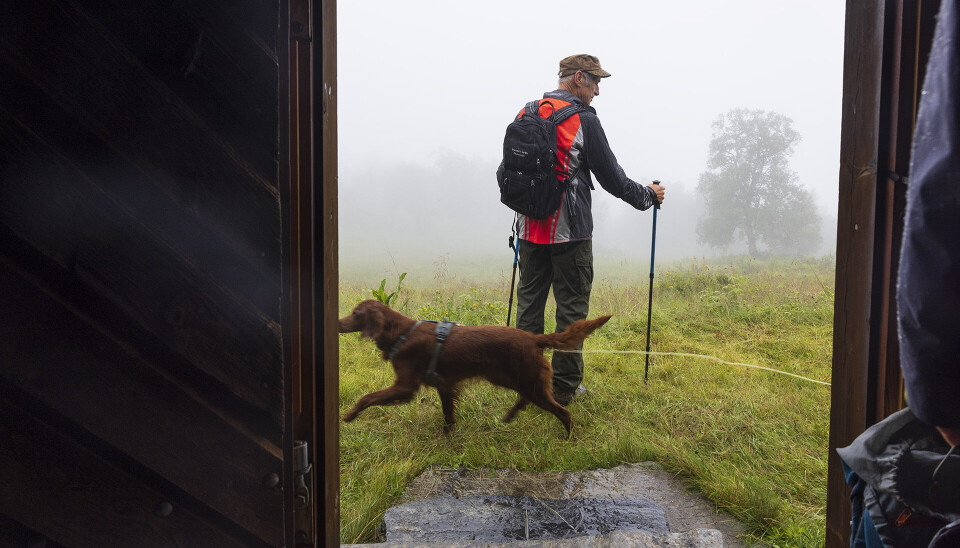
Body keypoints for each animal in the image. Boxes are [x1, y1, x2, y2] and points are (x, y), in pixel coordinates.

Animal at [340, 300, 608, 436]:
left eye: (355, 314)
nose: (338, 323)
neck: (401, 333)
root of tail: (533, 338)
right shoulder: (444, 385)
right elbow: (448, 414)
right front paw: (448, 436)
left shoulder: (405, 387)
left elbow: (367, 398)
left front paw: (349, 415)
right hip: (510, 378)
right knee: (525, 399)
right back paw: (509, 417)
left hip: (526, 380)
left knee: (562, 412)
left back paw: (569, 437)